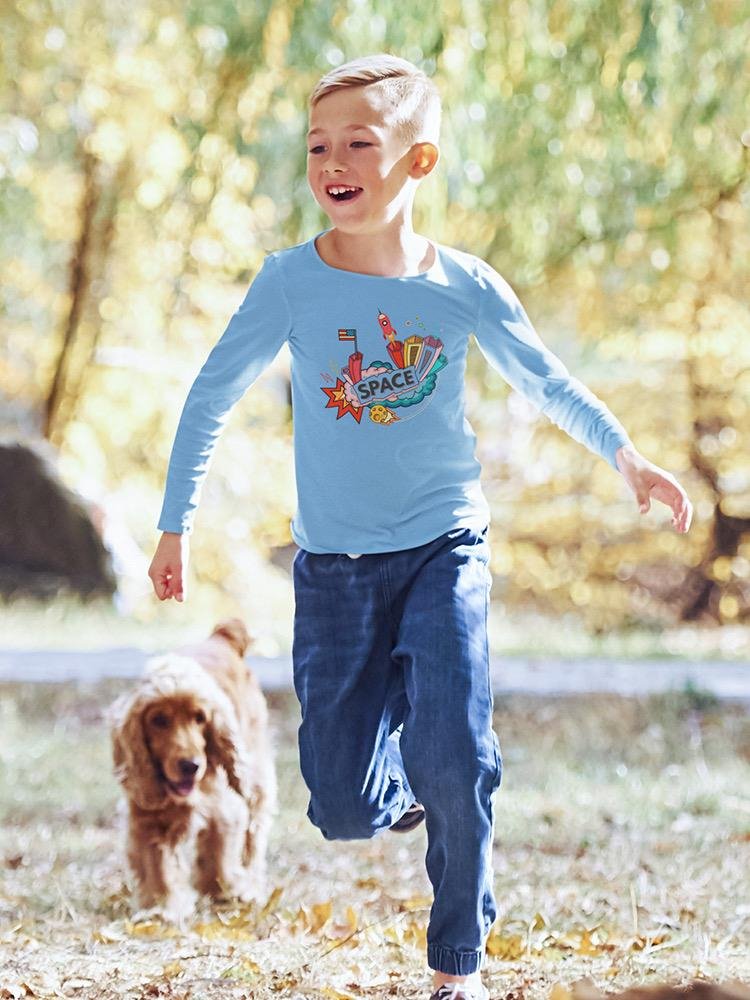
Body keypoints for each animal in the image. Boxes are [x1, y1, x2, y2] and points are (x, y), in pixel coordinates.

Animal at [108, 616, 276, 920]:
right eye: (159, 720)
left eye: (199, 718)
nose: (191, 766)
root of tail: (220, 638)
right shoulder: (145, 816)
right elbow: (157, 866)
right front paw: (162, 907)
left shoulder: (225, 809)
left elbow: (219, 854)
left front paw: (225, 892)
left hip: (254, 779)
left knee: (253, 838)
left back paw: (250, 887)